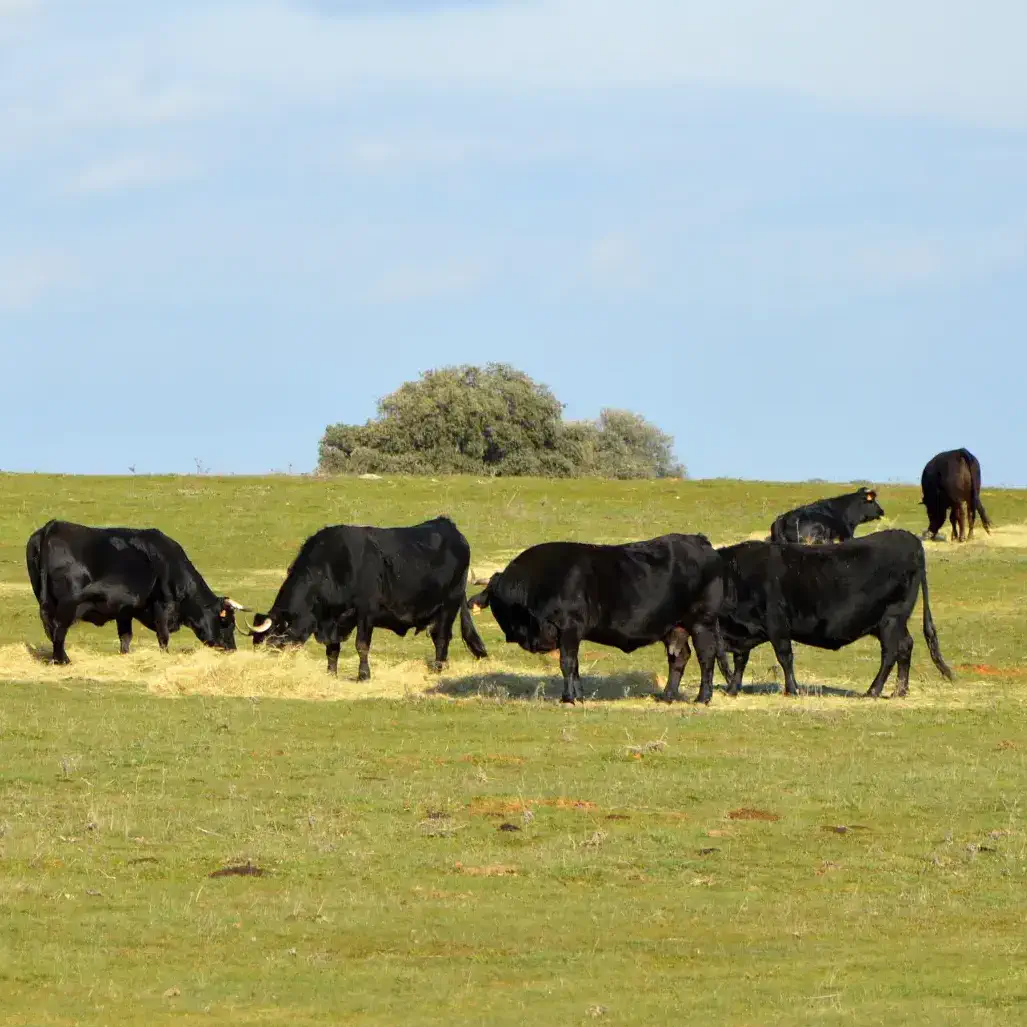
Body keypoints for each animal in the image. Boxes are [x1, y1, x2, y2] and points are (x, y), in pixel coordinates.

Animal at [26, 519, 244, 665]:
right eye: (226, 622)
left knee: (52, 629)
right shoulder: (162, 606)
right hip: (68, 604)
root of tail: (53, 526)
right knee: (58, 629)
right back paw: (63, 660)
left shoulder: (125, 611)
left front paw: (125, 656)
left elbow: (126, 637)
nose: (232, 650)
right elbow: (163, 637)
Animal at [241, 516, 488, 678]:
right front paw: (331, 673)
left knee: (442, 638)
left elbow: (362, 645)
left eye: (274, 638)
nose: (265, 665)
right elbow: (333, 649)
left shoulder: (365, 613)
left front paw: (364, 674)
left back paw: (438, 669)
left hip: (449, 605)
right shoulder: (334, 621)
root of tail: (449, 526)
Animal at [467, 534, 726, 705]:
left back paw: (702, 698)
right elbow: (574, 666)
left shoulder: (569, 628)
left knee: (706, 657)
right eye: (495, 601)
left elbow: (567, 663)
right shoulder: (570, 635)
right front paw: (578, 696)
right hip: (674, 627)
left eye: (502, 603)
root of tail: (699, 541)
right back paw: (667, 696)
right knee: (679, 658)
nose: (511, 635)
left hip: (702, 622)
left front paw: (568, 698)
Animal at [716, 529, 952, 699]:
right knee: (905, 646)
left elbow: (784, 657)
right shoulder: (743, 631)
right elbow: (740, 660)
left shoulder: (776, 624)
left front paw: (793, 690)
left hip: (891, 619)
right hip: (889, 623)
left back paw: (873, 691)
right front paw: (732, 689)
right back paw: (899, 691)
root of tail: (910, 539)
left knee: (892, 651)